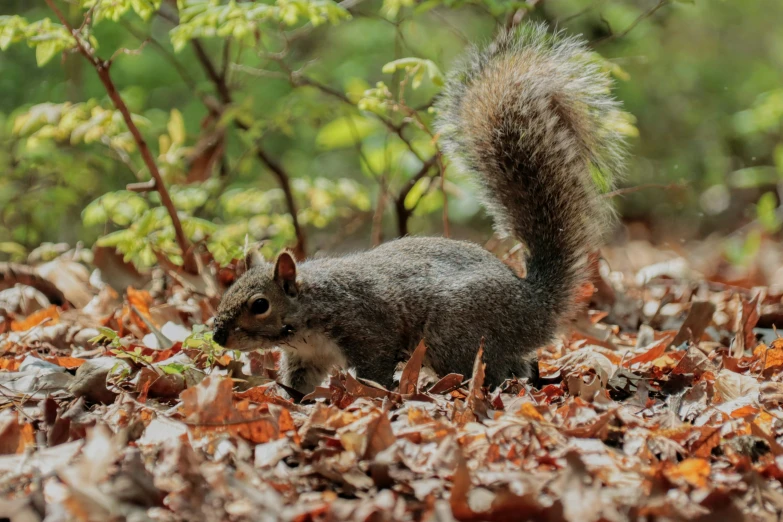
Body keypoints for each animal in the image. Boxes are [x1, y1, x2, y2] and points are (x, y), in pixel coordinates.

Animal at [213, 23, 624, 390]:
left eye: (260, 304)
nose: (217, 336)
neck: (310, 308)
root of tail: (535, 305)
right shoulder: (307, 357)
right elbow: (299, 385)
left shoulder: (367, 331)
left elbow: (375, 372)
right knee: (520, 365)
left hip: (456, 336)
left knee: (493, 371)